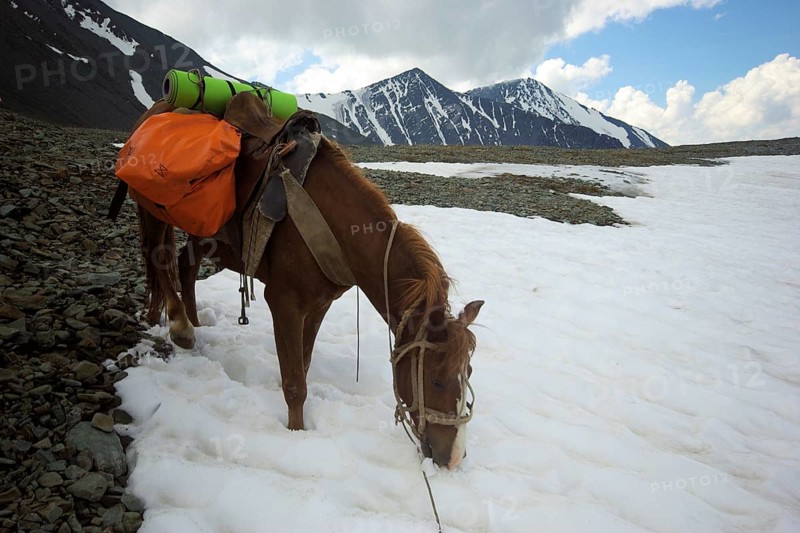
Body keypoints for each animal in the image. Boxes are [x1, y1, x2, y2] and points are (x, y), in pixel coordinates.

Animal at [132, 103, 484, 469]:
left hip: (203, 232)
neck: (337, 228)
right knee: (159, 261)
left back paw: (196, 322)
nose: (454, 458)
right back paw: (182, 327)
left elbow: (303, 363)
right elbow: (294, 385)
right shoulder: (284, 303)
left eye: (469, 372)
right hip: (153, 212)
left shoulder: (319, 305)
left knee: (186, 267)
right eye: (437, 380)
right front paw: (296, 436)